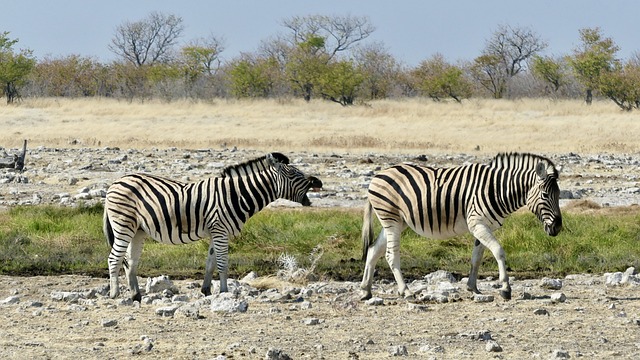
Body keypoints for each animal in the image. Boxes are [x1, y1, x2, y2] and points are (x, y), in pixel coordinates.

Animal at [106, 152, 324, 300]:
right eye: (294, 174)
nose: (319, 182)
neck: (238, 195)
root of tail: (116, 182)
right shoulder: (220, 230)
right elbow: (222, 264)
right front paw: (225, 292)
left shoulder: (216, 232)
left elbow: (210, 263)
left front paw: (207, 291)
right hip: (124, 225)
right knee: (114, 258)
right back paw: (115, 294)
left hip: (138, 231)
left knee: (130, 262)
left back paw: (136, 295)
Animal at [362, 152, 564, 300]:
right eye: (545, 195)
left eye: (559, 194)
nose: (558, 228)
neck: (497, 189)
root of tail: (377, 175)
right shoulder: (477, 224)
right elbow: (498, 251)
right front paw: (505, 288)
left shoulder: (483, 226)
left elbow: (477, 257)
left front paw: (472, 287)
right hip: (391, 220)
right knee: (390, 255)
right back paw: (406, 291)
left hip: (395, 222)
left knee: (373, 250)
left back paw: (366, 290)